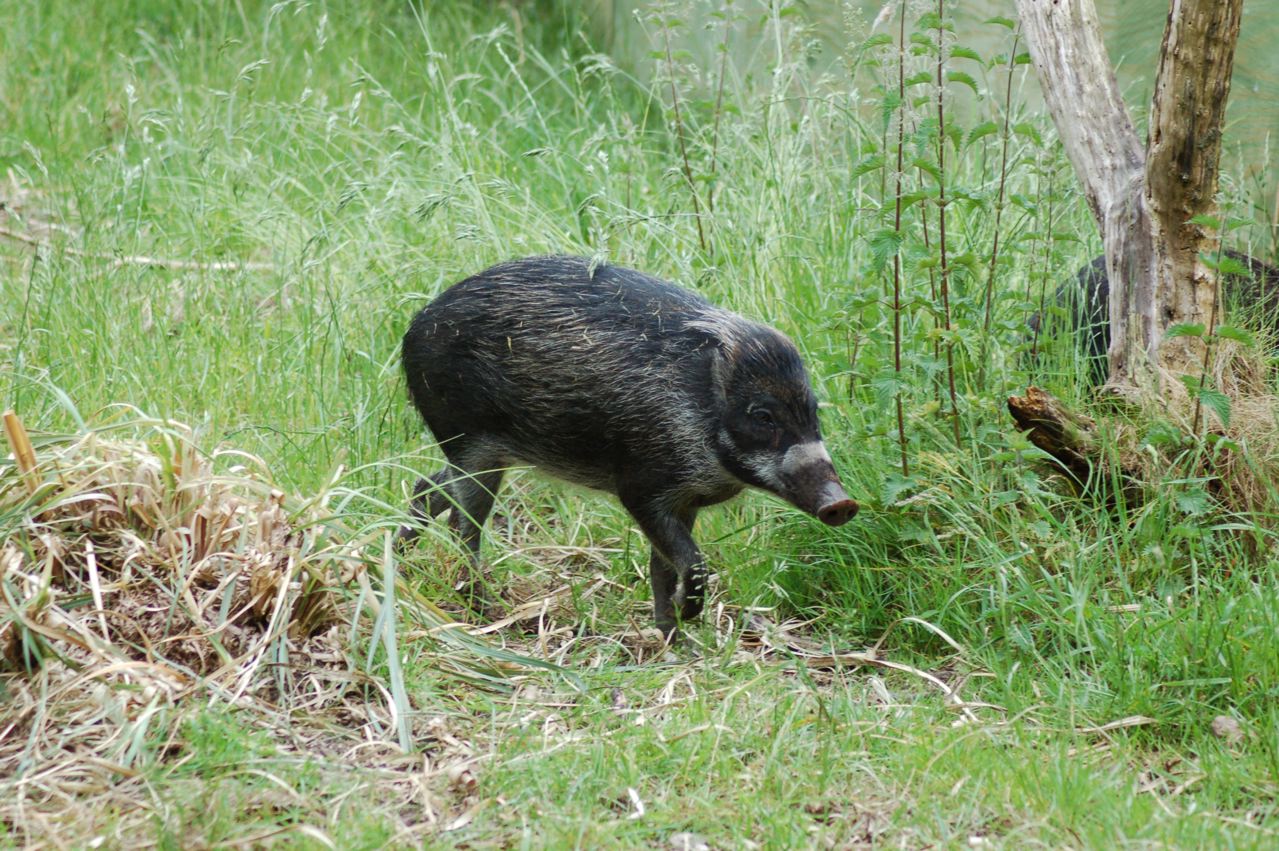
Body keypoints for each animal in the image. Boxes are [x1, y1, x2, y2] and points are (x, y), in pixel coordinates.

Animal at [398, 255, 857, 639]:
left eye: (813, 409)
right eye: (763, 415)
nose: (843, 504)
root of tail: (415, 324)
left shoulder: (685, 501)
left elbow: (664, 567)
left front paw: (674, 639)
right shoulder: (640, 489)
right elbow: (692, 562)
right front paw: (684, 619)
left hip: (481, 456)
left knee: (427, 487)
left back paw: (400, 563)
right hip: (467, 444)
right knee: (463, 526)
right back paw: (481, 610)